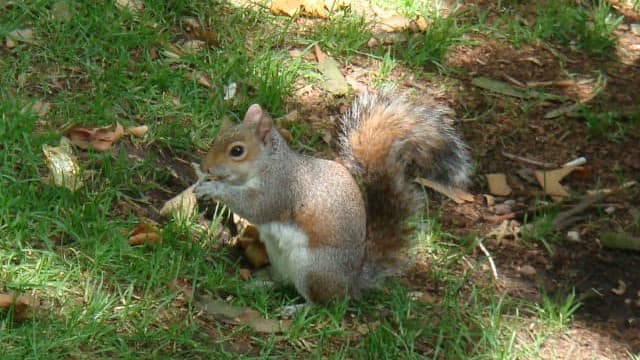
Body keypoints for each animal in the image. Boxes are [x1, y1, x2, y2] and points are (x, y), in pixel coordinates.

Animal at [195, 92, 470, 304]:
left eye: (237, 151)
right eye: (217, 137)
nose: (206, 166)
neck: (269, 163)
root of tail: (351, 283)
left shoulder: (281, 189)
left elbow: (255, 207)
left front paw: (215, 189)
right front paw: (201, 178)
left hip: (314, 268)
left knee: (325, 304)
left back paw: (298, 308)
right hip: (281, 258)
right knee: (283, 282)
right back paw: (257, 284)